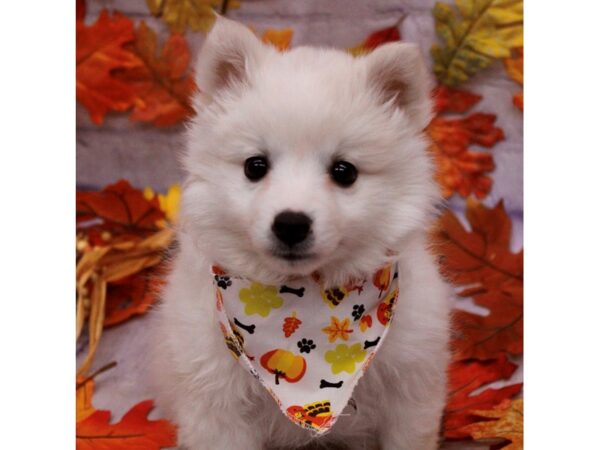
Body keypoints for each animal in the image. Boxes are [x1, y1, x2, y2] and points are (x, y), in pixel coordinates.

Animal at [152, 17, 448, 450]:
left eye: (344, 172)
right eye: (255, 166)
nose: (291, 223)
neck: (305, 301)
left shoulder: (411, 387)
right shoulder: (216, 405)